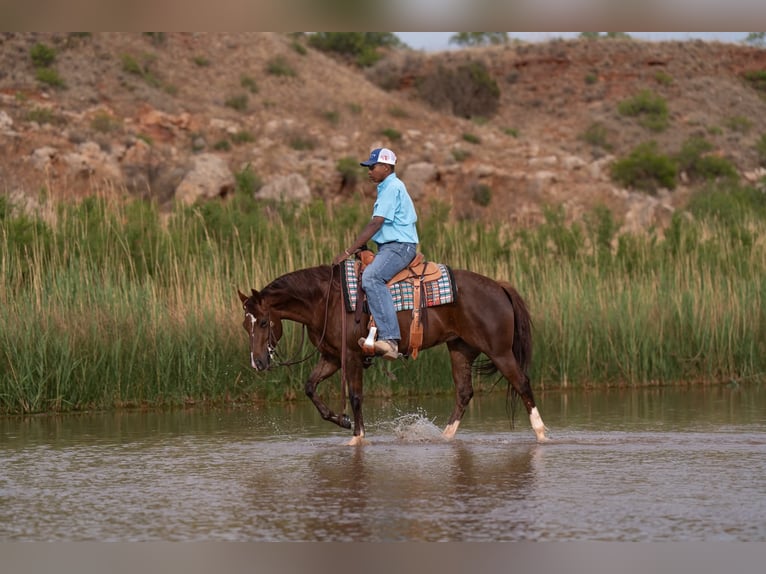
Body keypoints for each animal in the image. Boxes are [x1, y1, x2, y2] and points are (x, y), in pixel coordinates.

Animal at [238, 263, 548, 446]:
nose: (258, 362)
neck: (326, 301)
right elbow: (310, 387)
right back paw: (444, 437)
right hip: (460, 348)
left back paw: (542, 433)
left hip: (499, 351)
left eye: (263, 322)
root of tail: (499, 286)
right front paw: (342, 421)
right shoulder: (332, 358)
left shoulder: (351, 356)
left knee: (522, 383)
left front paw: (357, 438)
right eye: (245, 325)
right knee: (464, 393)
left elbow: (355, 396)